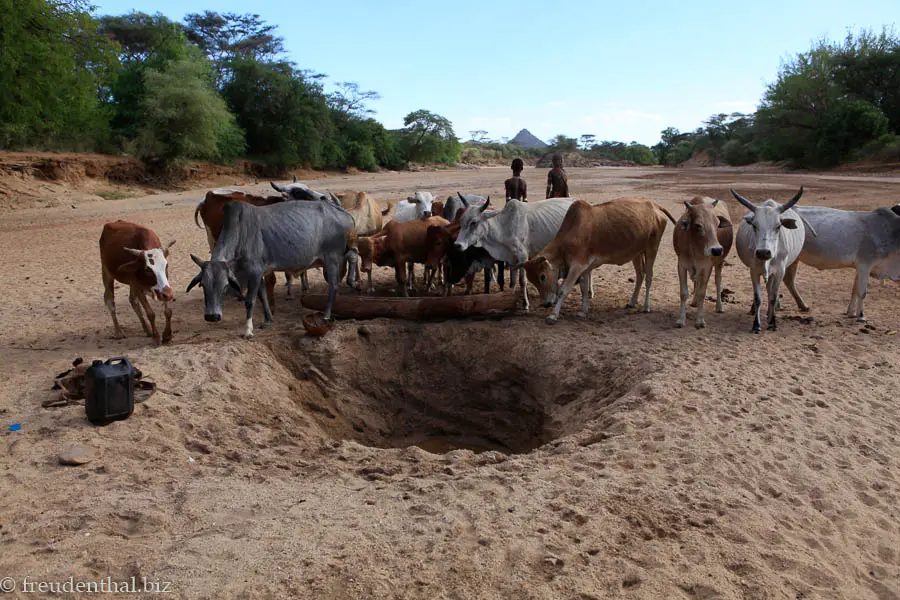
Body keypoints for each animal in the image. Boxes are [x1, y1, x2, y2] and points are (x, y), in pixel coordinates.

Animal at [185, 198, 356, 338]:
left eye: (225, 286)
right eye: (203, 285)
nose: (212, 316)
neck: (240, 231)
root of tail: (344, 213)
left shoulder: (254, 271)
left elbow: (250, 300)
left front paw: (248, 330)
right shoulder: (259, 272)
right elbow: (262, 295)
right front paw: (268, 320)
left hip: (332, 259)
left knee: (334, 285)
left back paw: (326, 314)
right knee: (351, 259)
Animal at [520, 198, 676, 324]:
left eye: (542, 276)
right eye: (532, 280)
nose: (546, 304)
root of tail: (655, 206)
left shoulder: (577, 265)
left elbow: (564, 290)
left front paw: (553, 316)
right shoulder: (585, 267)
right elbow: (584, 288)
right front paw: (583, 311)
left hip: (652, 248)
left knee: (649, 276)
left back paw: (646, 306)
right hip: (637, 253)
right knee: (640, 275)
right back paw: (631, 302)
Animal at [672, 196, 736, 328]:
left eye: (717, 224)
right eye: (698, 225)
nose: (717, 249)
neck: (694, 248)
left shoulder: (707, 266)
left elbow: (702, 292)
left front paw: (700, 321)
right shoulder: (681, 264)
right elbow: (683, 293)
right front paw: (681, 320)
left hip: (719, 263)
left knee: (718, 281)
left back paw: (719, 306)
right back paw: (695, 302)